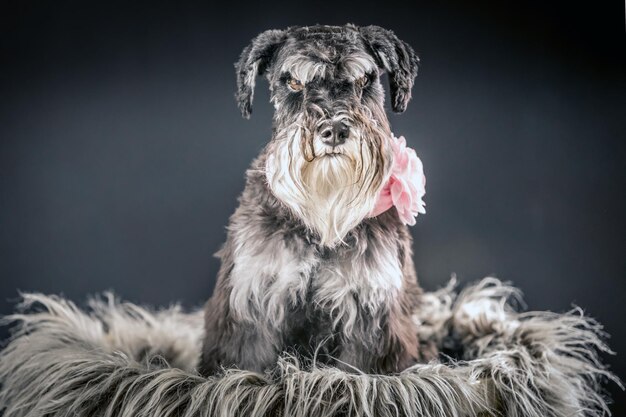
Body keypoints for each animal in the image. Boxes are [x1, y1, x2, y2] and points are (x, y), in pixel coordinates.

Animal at [200, 24, 424, 376]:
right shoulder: (251, 304)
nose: (333, 130)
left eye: (364, 80)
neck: (319, 225)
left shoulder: (372, 319)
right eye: (293, 82)